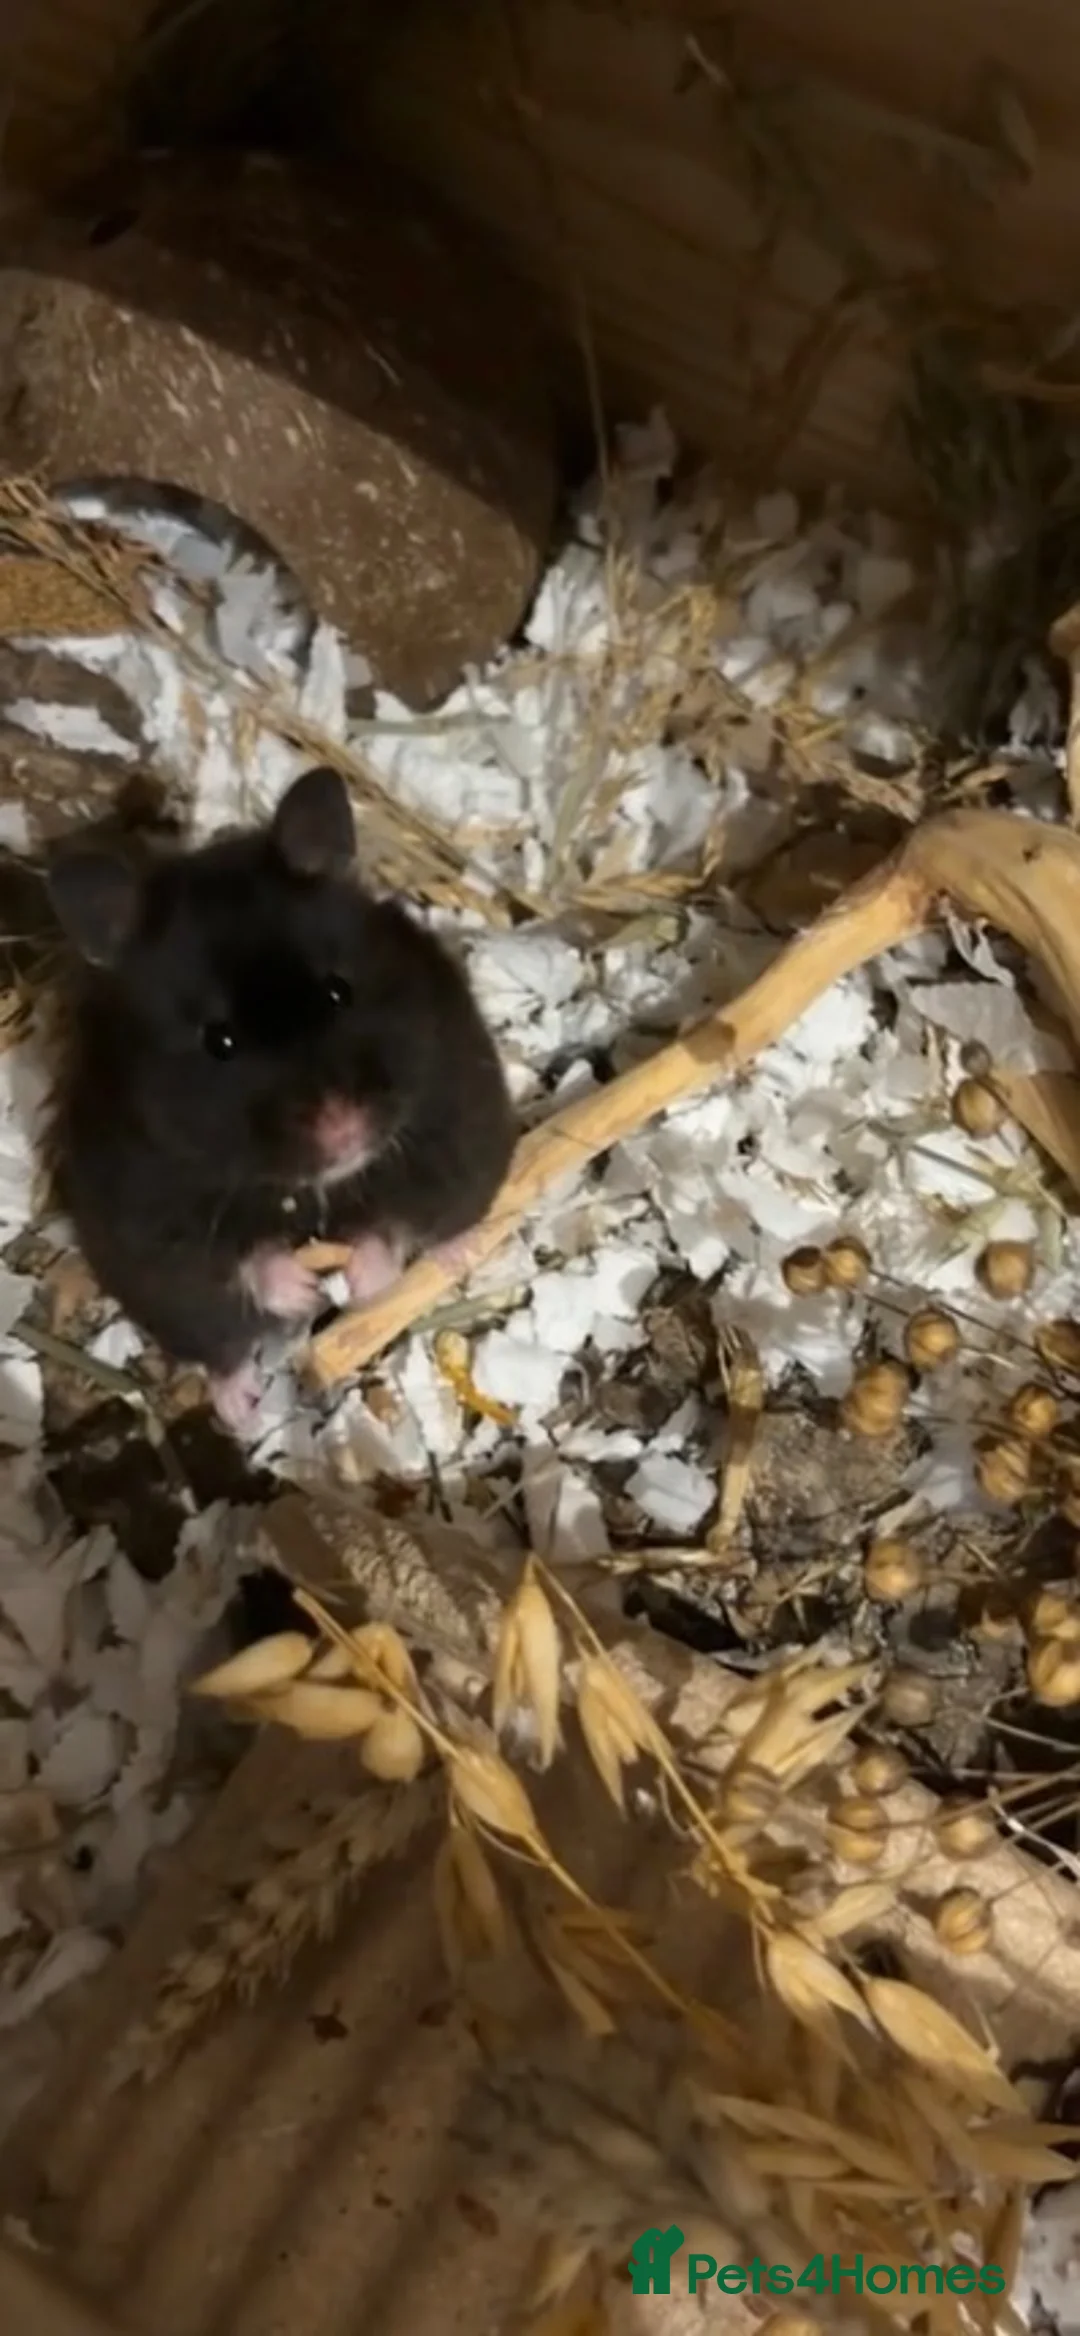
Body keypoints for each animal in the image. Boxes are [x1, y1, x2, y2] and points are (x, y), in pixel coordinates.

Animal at [46, 765, 517, 1434]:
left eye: (338, 992)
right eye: (219, 1041)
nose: (342, 1128)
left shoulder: (441, 1125)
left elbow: (391, 1225)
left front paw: (359, 1282)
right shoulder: (151, 1215)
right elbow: (235, 1260)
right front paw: (304, 1291)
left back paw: (458, 1252)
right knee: (220, 1344)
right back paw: (242, 1412)